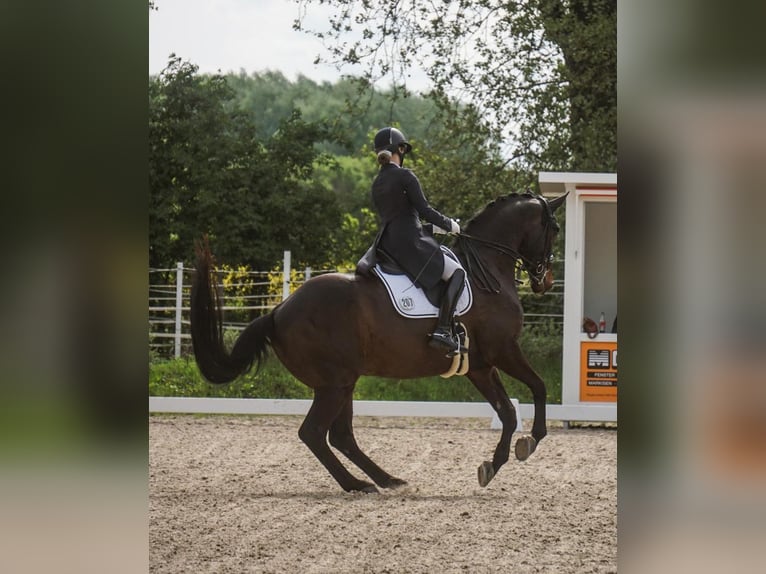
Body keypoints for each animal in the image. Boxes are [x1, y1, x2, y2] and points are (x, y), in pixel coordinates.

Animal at [189, 192, 568, 496]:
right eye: (555, 230)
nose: (545, 281)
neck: (486, 270)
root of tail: (278, 311)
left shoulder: (480, 365)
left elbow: (507, 412)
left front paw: (494, 464)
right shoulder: (504, 351)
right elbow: (539, 388)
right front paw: (531, 441)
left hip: (342, 382)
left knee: (340, 435)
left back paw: (386, 479)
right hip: (335, 383)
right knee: (315, 433)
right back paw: (359, 484)